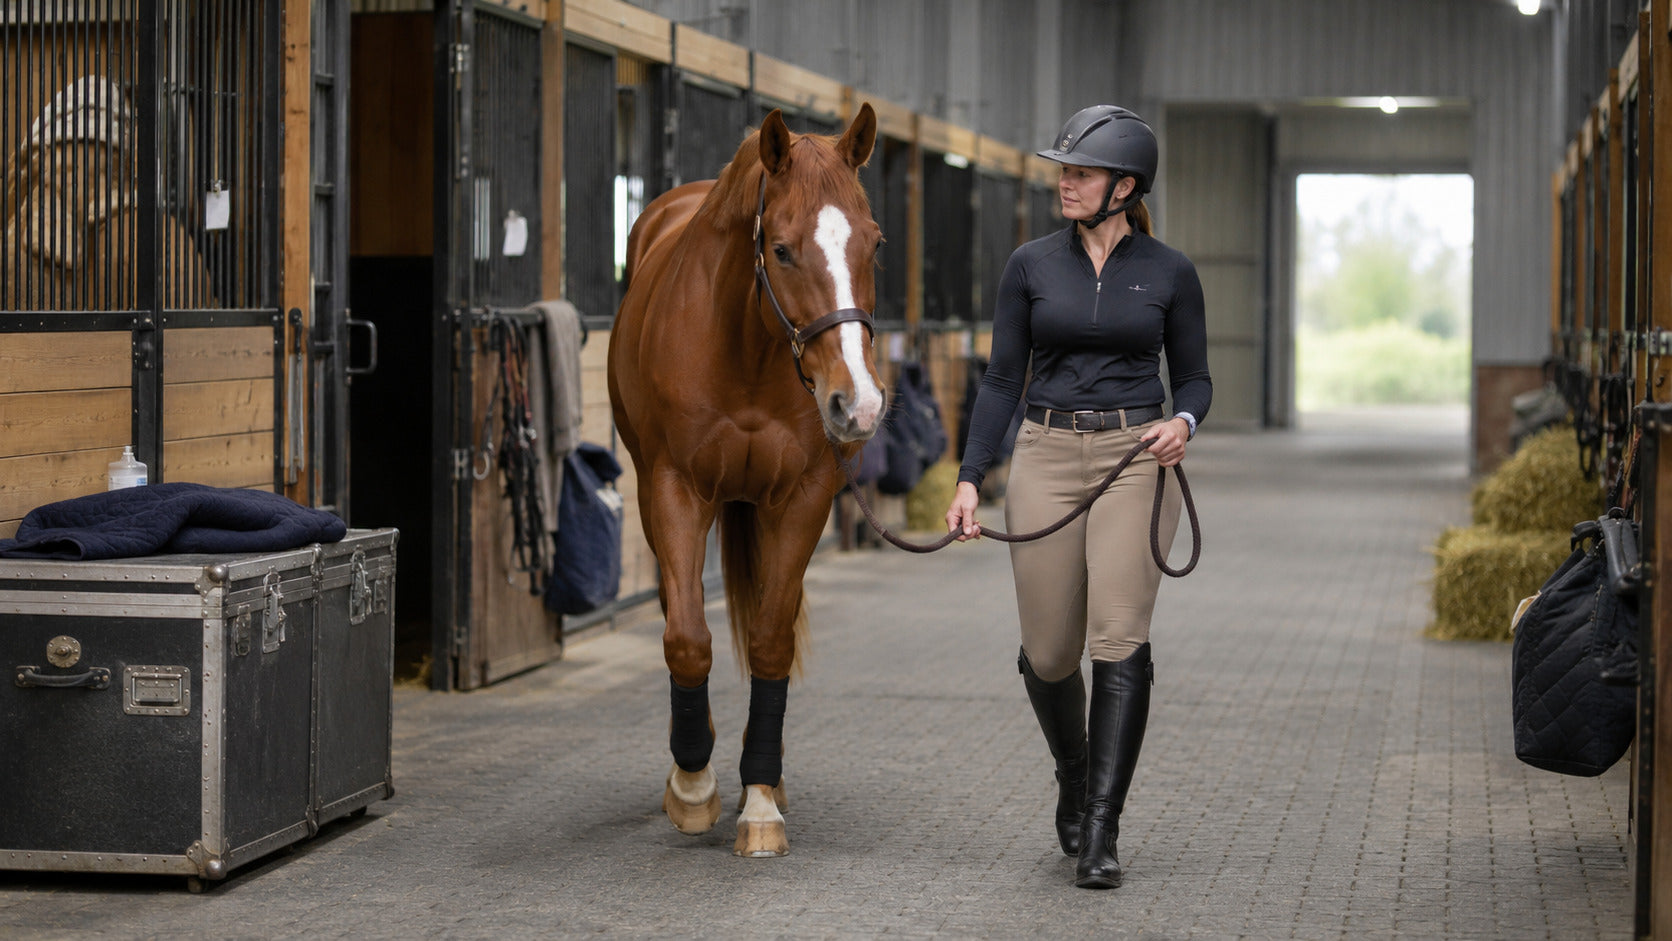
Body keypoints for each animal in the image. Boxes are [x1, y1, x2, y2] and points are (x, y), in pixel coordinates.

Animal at [607, 104, 884, 857]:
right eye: (782, 250)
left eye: (874, 244)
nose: (858, 404)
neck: (749, 354)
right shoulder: (673, 492)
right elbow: (687, 639)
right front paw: (692, 785)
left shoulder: (802, 500)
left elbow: (770, 640)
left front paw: (760, 798)